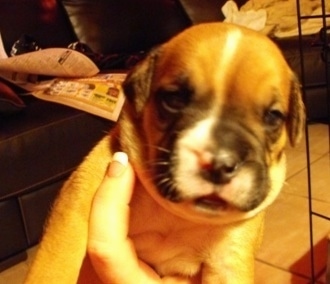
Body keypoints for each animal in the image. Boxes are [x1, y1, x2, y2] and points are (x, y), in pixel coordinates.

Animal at [24, 22, 306, 284]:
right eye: (174, 99)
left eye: (273, 117)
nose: (219, 163)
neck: (178, 216)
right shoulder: (78, 198)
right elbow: (57, 261)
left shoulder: (229, 255)